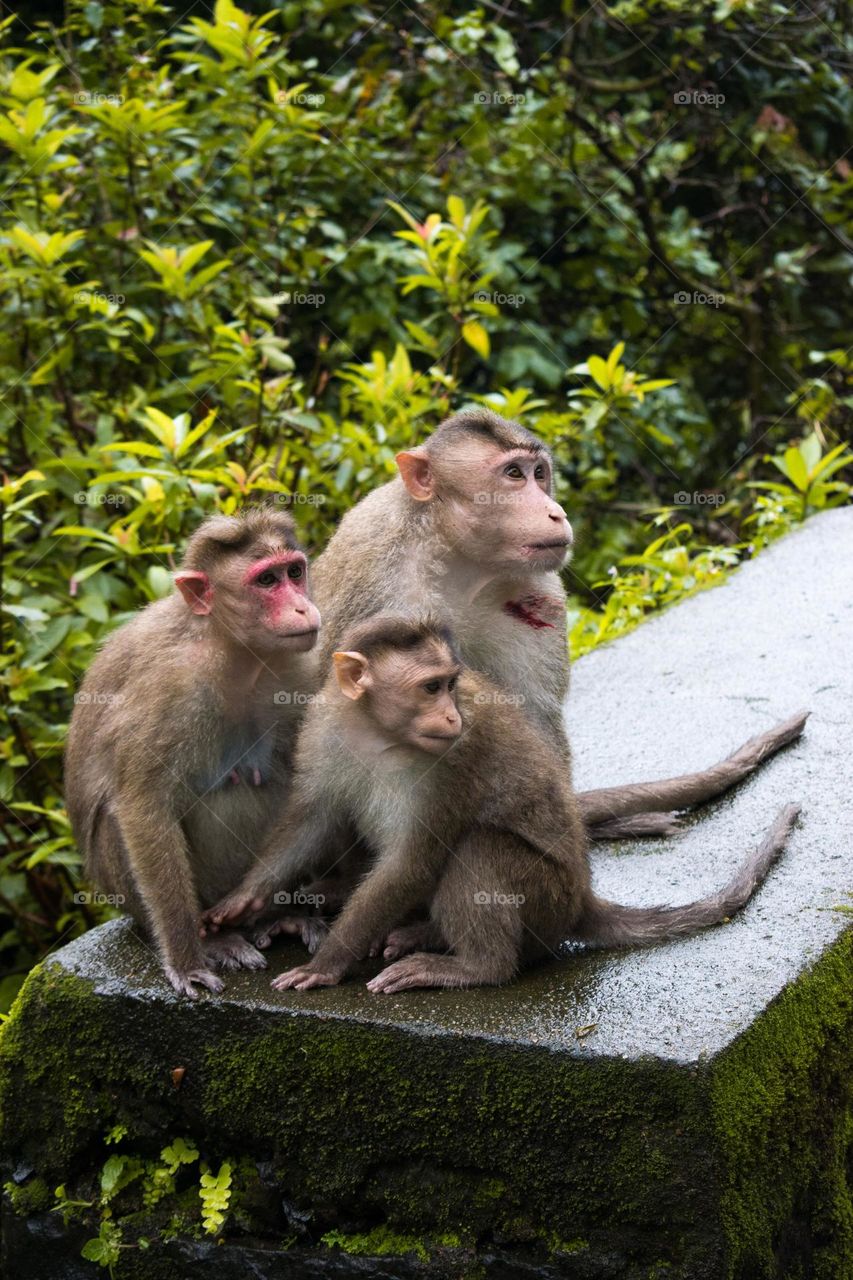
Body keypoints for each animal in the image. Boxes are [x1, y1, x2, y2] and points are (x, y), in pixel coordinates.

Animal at [64, 504, 322, 993]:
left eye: (295, 572)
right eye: (266, 581)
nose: (303, 606)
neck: (233, 654)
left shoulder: (302, 674)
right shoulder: (171, 689)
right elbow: (144, 807)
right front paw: (186, 959)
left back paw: (273, 917)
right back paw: (215, 938)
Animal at [204, 614, 799, 993]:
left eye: (450, 684)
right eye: (430, 688)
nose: (451, 716)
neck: (378, 733)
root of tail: (582, 899)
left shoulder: (452, 762)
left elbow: (410, 863)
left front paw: (328, 963)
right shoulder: (324, 729)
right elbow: (313, 819)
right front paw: (245, 899)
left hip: (546, 902)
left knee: (480, 848)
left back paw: (475, 967)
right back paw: (423, 932)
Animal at [306, 404, 804, 834]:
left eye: (539, 474)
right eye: (513, 474)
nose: (556, 512)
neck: (455, 556)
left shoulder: (537, 591)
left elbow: (529, 715)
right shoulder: (377, 572)